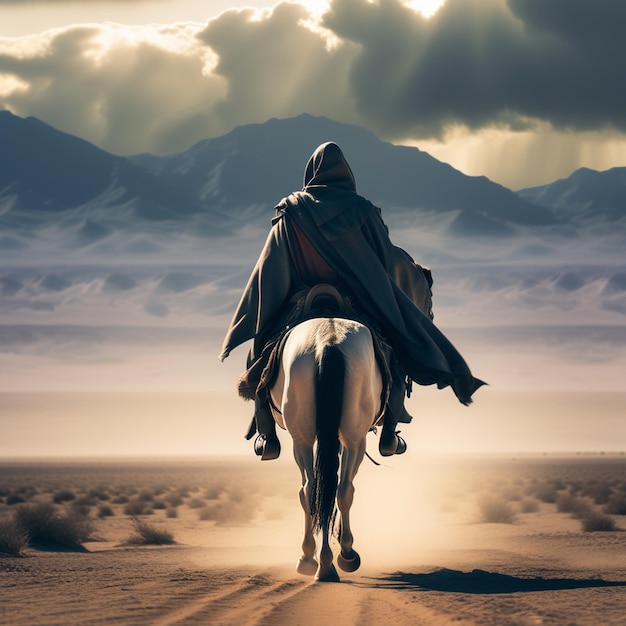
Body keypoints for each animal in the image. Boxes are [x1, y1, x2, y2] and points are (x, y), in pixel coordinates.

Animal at [268, 314, 380, 584]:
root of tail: (327, 341)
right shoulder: (353, 440)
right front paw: (344, 548)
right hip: (354, 438)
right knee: (341, 488)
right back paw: (338, 558)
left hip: (302, 438)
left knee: (312, 489)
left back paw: (316, 561)